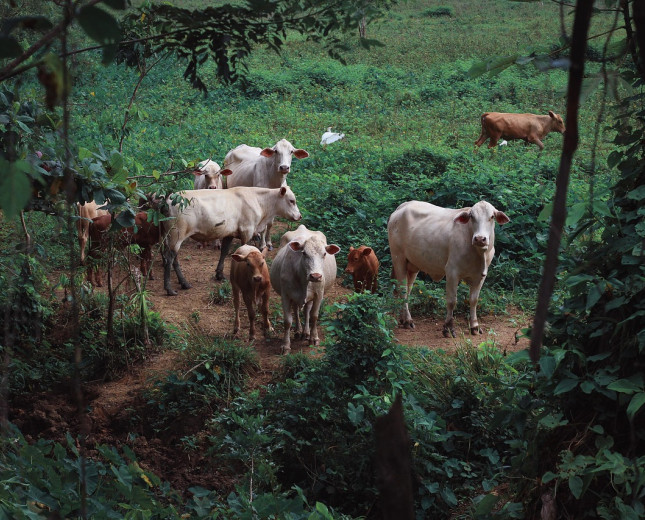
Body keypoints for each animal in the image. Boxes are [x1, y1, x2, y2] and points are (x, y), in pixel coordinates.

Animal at [161, 185, 302, 294]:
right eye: (291, 201)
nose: (300, 216)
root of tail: (168, 199)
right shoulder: (247, 230)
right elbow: (244, 250)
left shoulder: (229, 233)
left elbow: (224, 252)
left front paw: (219, 274)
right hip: (176, 235)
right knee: (170, 258)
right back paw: (169, 288)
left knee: (172, 258)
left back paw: (184, 283)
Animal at [270, 224, 340, 354]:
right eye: (304, 253)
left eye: (324, 254)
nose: (316, 276)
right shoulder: (286, 295)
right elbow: (288, 321)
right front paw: (285, 345)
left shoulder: (319, 294)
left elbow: (314, 316)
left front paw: (314, 338)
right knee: (296, 310)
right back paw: (298, 331)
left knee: (307, 310)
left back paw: (306, 333)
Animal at [388, 199, 508, 338]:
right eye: (471, 216)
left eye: (492, 216)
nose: (479, 239)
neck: (478, 253)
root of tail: (402, 206)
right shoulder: (452, 272)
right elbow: (452, 301)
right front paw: (448, 328)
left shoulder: (480, 276)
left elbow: (474, 300)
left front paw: (475, 326)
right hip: (398, 259)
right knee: (402, 290)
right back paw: (407, 320)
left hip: (412, 265)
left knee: (407, 290)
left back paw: (403, 318)